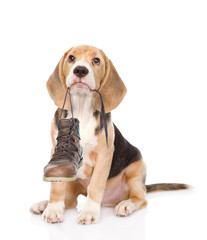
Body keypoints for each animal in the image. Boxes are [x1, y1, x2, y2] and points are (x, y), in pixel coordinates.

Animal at [30, 45, 188, 225]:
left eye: (96, 60)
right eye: (71, 58)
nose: (80, 70)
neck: (82, 110)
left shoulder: (104, 156)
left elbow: (96, 185)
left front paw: (89, 212)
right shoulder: (56, 154)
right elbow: (56, 187)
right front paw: (53, 209)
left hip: (137, 170)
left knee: (141, 198)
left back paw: (126, 205)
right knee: (69, 201)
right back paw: (44, 204)